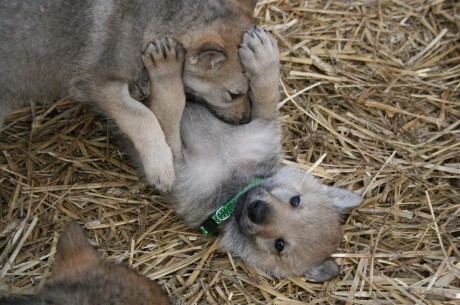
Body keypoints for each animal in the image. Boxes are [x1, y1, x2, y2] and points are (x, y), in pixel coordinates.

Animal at [0, 0, 258, 190]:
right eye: (234, 94)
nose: (246, 119)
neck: (149, 24)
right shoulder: (98, 85)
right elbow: (143, 118)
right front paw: (160, 165)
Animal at [140, 29, 362, 280]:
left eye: (280, 245)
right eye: (295, 200)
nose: (258, 210)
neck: (235, 185)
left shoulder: (177, 165)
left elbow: (168, 112)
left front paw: (165, 69)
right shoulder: (261, 126)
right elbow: (266, 97)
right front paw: (263, 55)